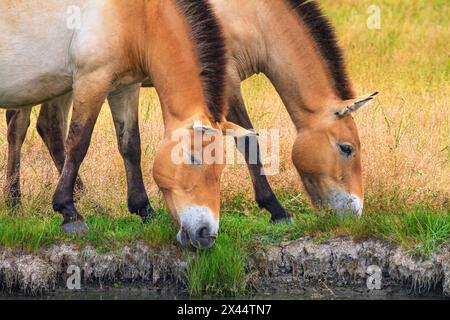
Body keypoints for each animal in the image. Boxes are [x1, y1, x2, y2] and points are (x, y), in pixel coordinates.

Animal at [0, 0, 253, 249]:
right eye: (193, 158)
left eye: (221, 168)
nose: (206, 234)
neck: (141, 14)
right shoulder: (92, 80)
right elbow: (78, 143)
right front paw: (69, 212)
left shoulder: (125, 87)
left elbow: (130, 146)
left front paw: (144, 209)